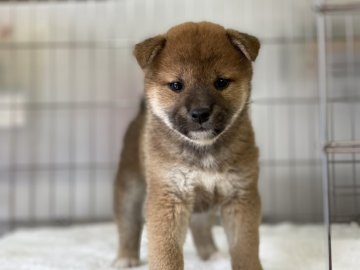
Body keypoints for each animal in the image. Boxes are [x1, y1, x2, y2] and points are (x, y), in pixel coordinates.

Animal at [114, 21, 262, 270]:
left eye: (221, 82)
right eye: (176, 85)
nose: (200, 113)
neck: (204, 151)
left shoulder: (241, 196)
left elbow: (245, 249)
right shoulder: (168, 197)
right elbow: (166, 252)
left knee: (200, 227)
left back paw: (211, 254)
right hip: (130, 189)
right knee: (127, 225)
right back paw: (126, 258)